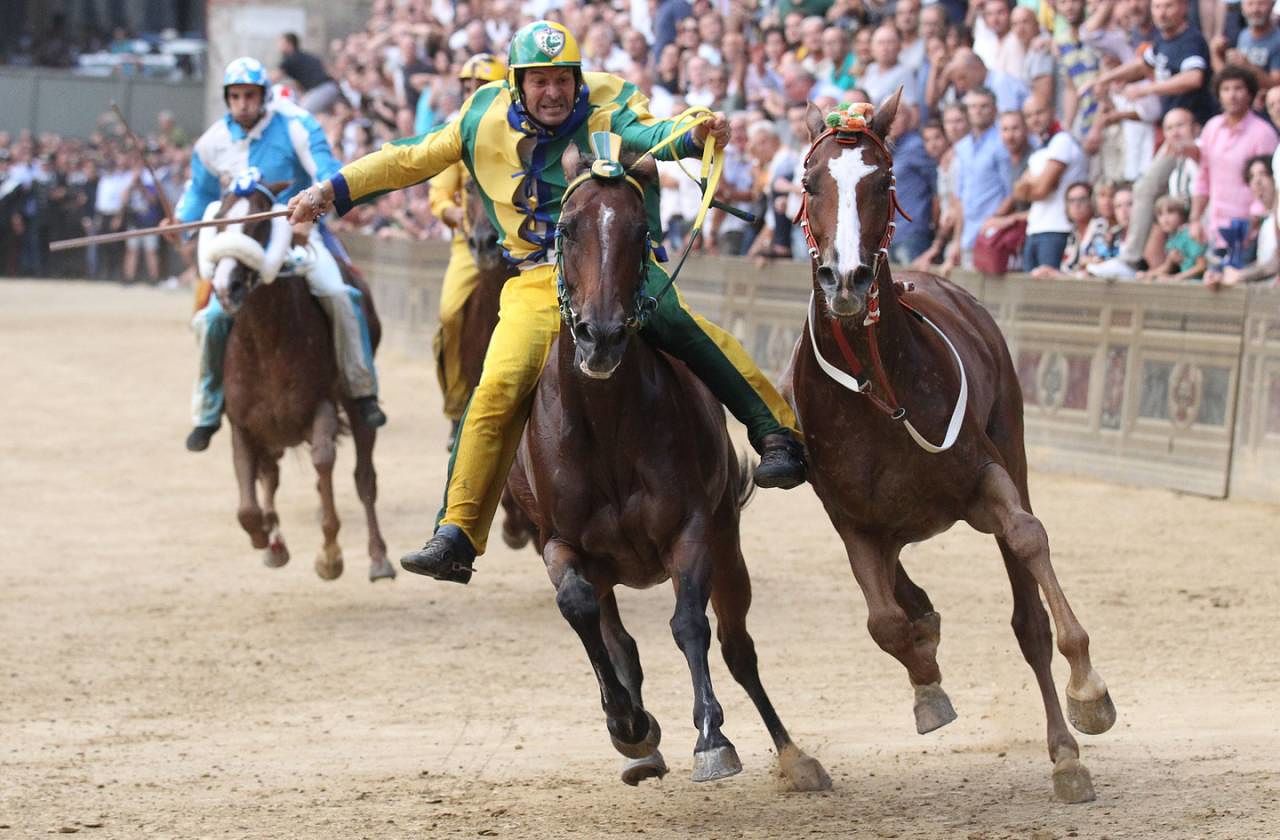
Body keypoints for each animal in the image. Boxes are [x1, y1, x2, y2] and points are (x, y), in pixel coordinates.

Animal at [201, 179, 395, 582]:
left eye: (259, 224)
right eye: (221, 220)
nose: (226, 287)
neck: (267, 343)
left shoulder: (319, 406)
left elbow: (324, 460)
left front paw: (330, 556)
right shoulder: (243, 424)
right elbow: (248, 505)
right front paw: (266, 538)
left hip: (355, 406)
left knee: (364, 477)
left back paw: (379, 558)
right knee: (271, 475)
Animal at [501, 144, 829, 791]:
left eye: (640, 231)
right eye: (567, 228)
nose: (599, 336)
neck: (606, 428)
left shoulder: (693, 529)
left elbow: (689, 625)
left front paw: (712, 738)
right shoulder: (559, 541)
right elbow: (580, 610)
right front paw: (629, 725)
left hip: (728, 545)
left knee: (738, 648)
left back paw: (794, 757)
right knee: (616, 635)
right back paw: (640, 743)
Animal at [784, 91, 1115, 803]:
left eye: (884, 181)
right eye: (810, 181)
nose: (846, 278)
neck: (876, 389)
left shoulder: (983, 474)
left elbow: (1027, 539)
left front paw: (1088, 690)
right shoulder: (851, 519)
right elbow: (885, 621)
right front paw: (927, 682)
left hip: (1009, 443)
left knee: (1027, 618)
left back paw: (1065, 753)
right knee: (902, 595)